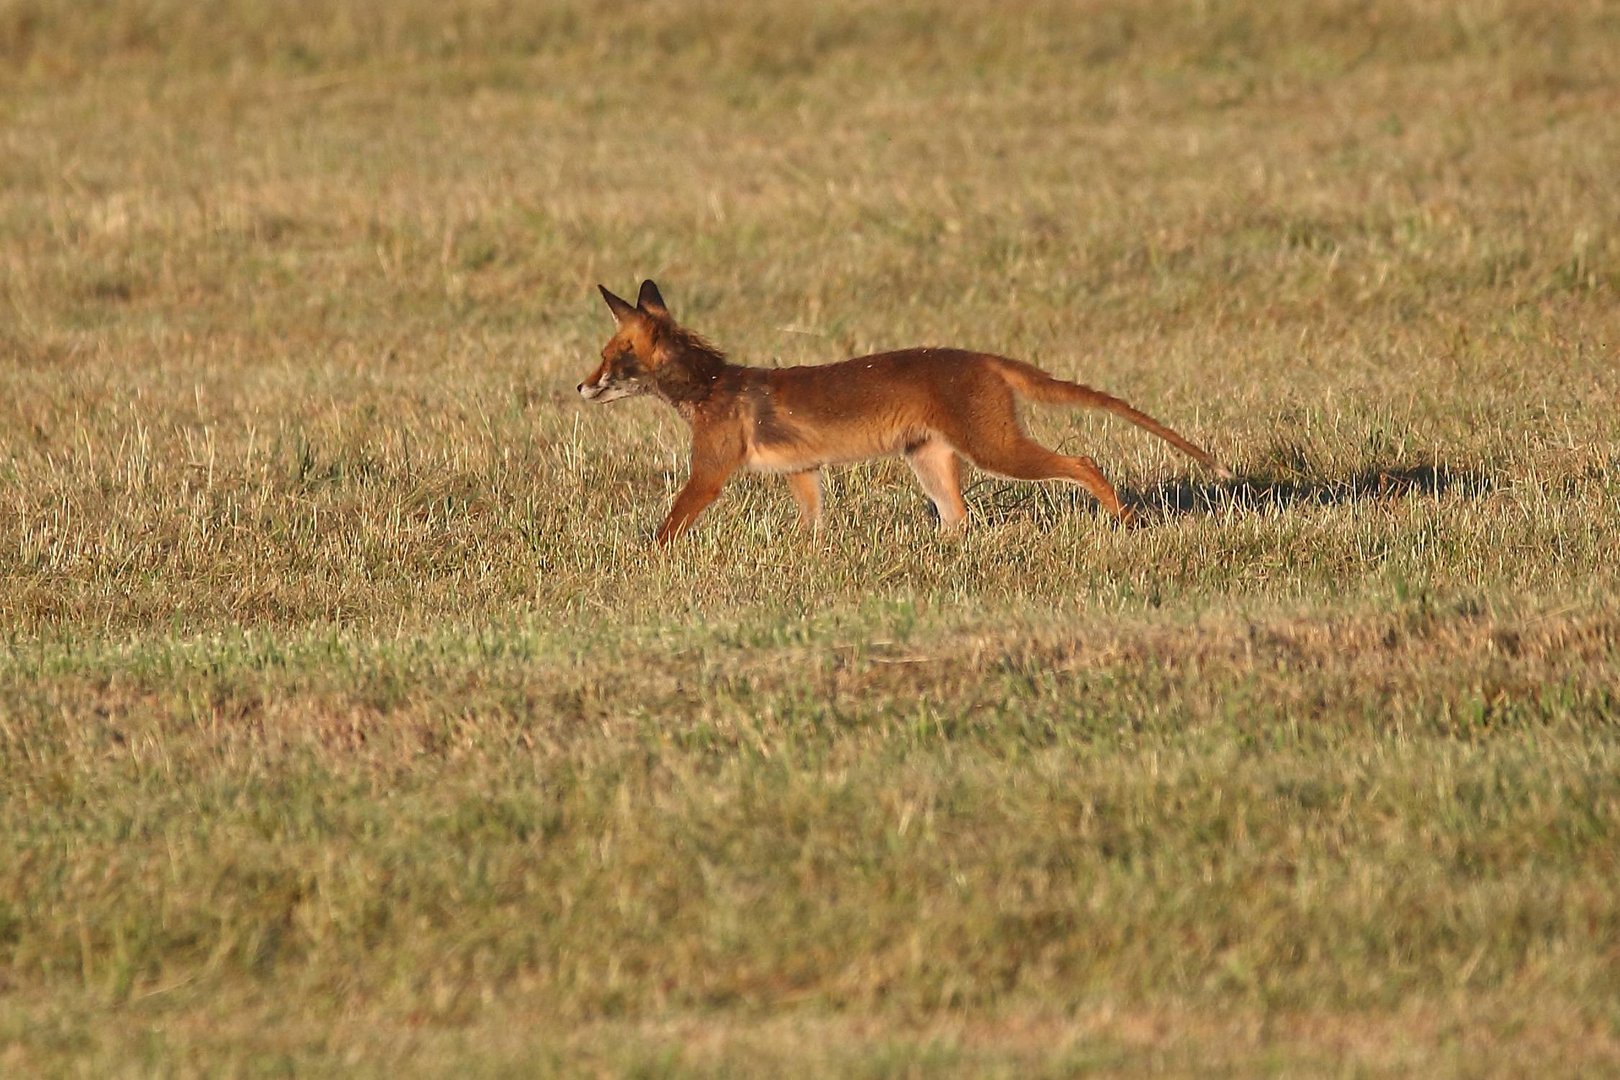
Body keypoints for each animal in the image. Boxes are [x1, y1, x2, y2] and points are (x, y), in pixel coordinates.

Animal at [576, 281, 1231, 540]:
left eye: (610, 356)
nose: (580, 387)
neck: (712, 387)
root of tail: (982, 356)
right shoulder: (801, 471)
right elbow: (812, 527)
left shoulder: (710, 473)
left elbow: (665, 530)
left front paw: (645, 563)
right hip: (930, 459)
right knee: (958, 518)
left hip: (994, 451)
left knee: (1085, 461)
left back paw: (1123, 517)